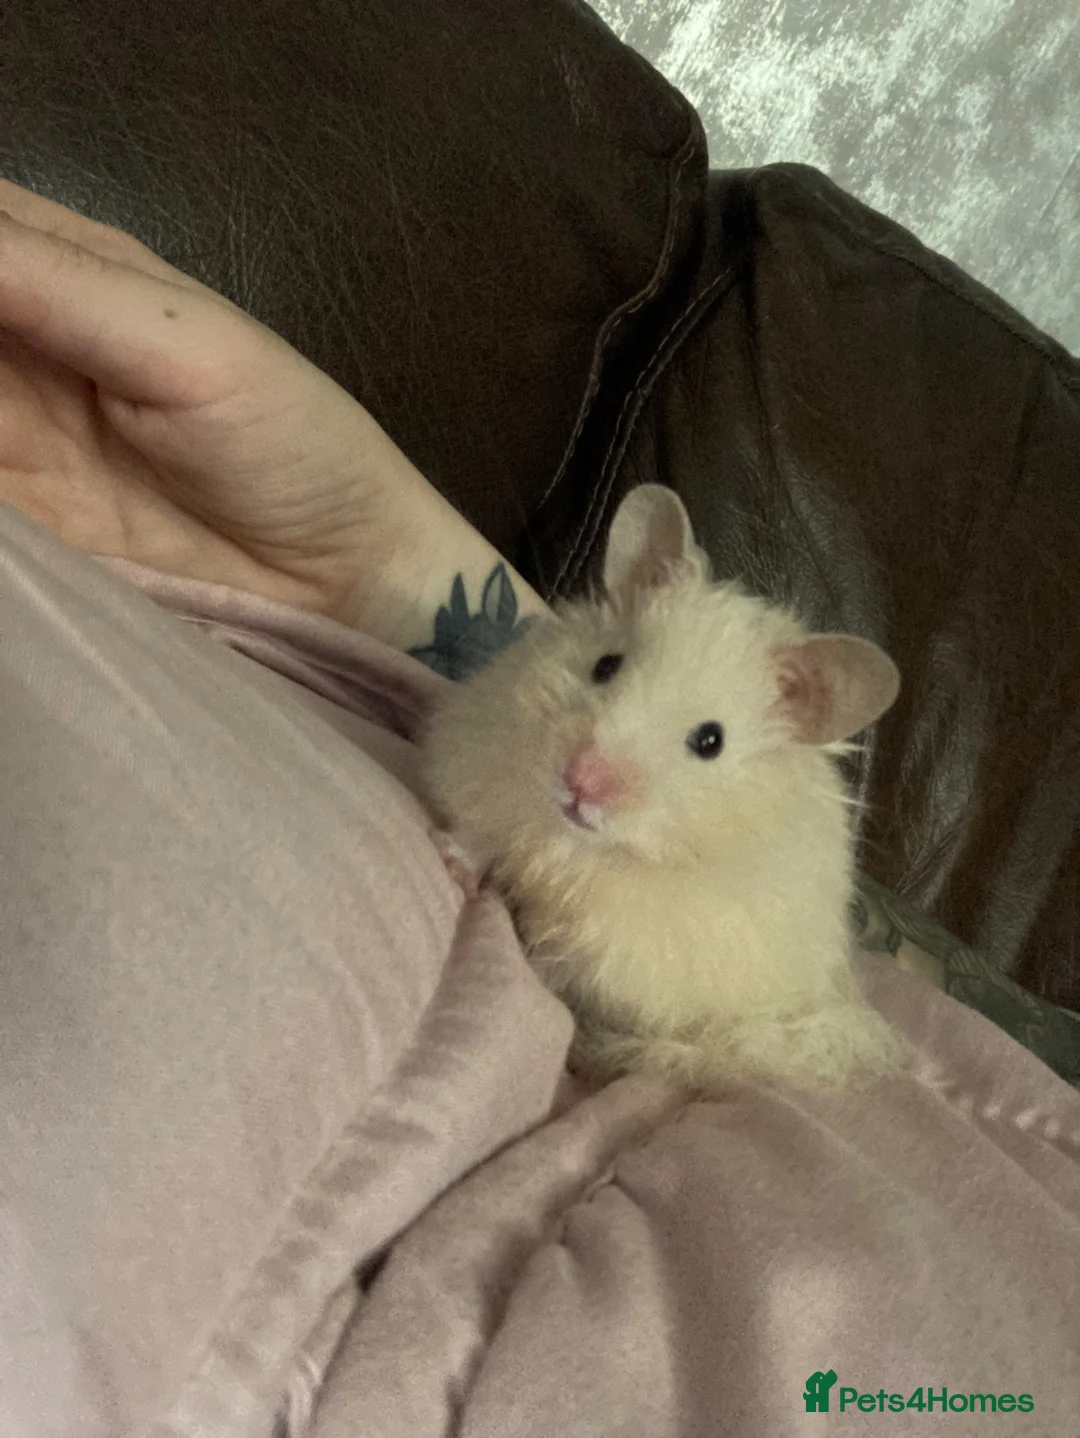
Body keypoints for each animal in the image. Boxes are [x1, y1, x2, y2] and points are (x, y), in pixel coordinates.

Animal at [421, 484, 902, 1090]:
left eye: (710, 741)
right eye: (606, 666)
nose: (580, 780)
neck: (584, 850)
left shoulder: (633, 949)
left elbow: (571, 962)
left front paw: (533, 958)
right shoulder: (493, 776)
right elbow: (483, 834)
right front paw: (450, 862)